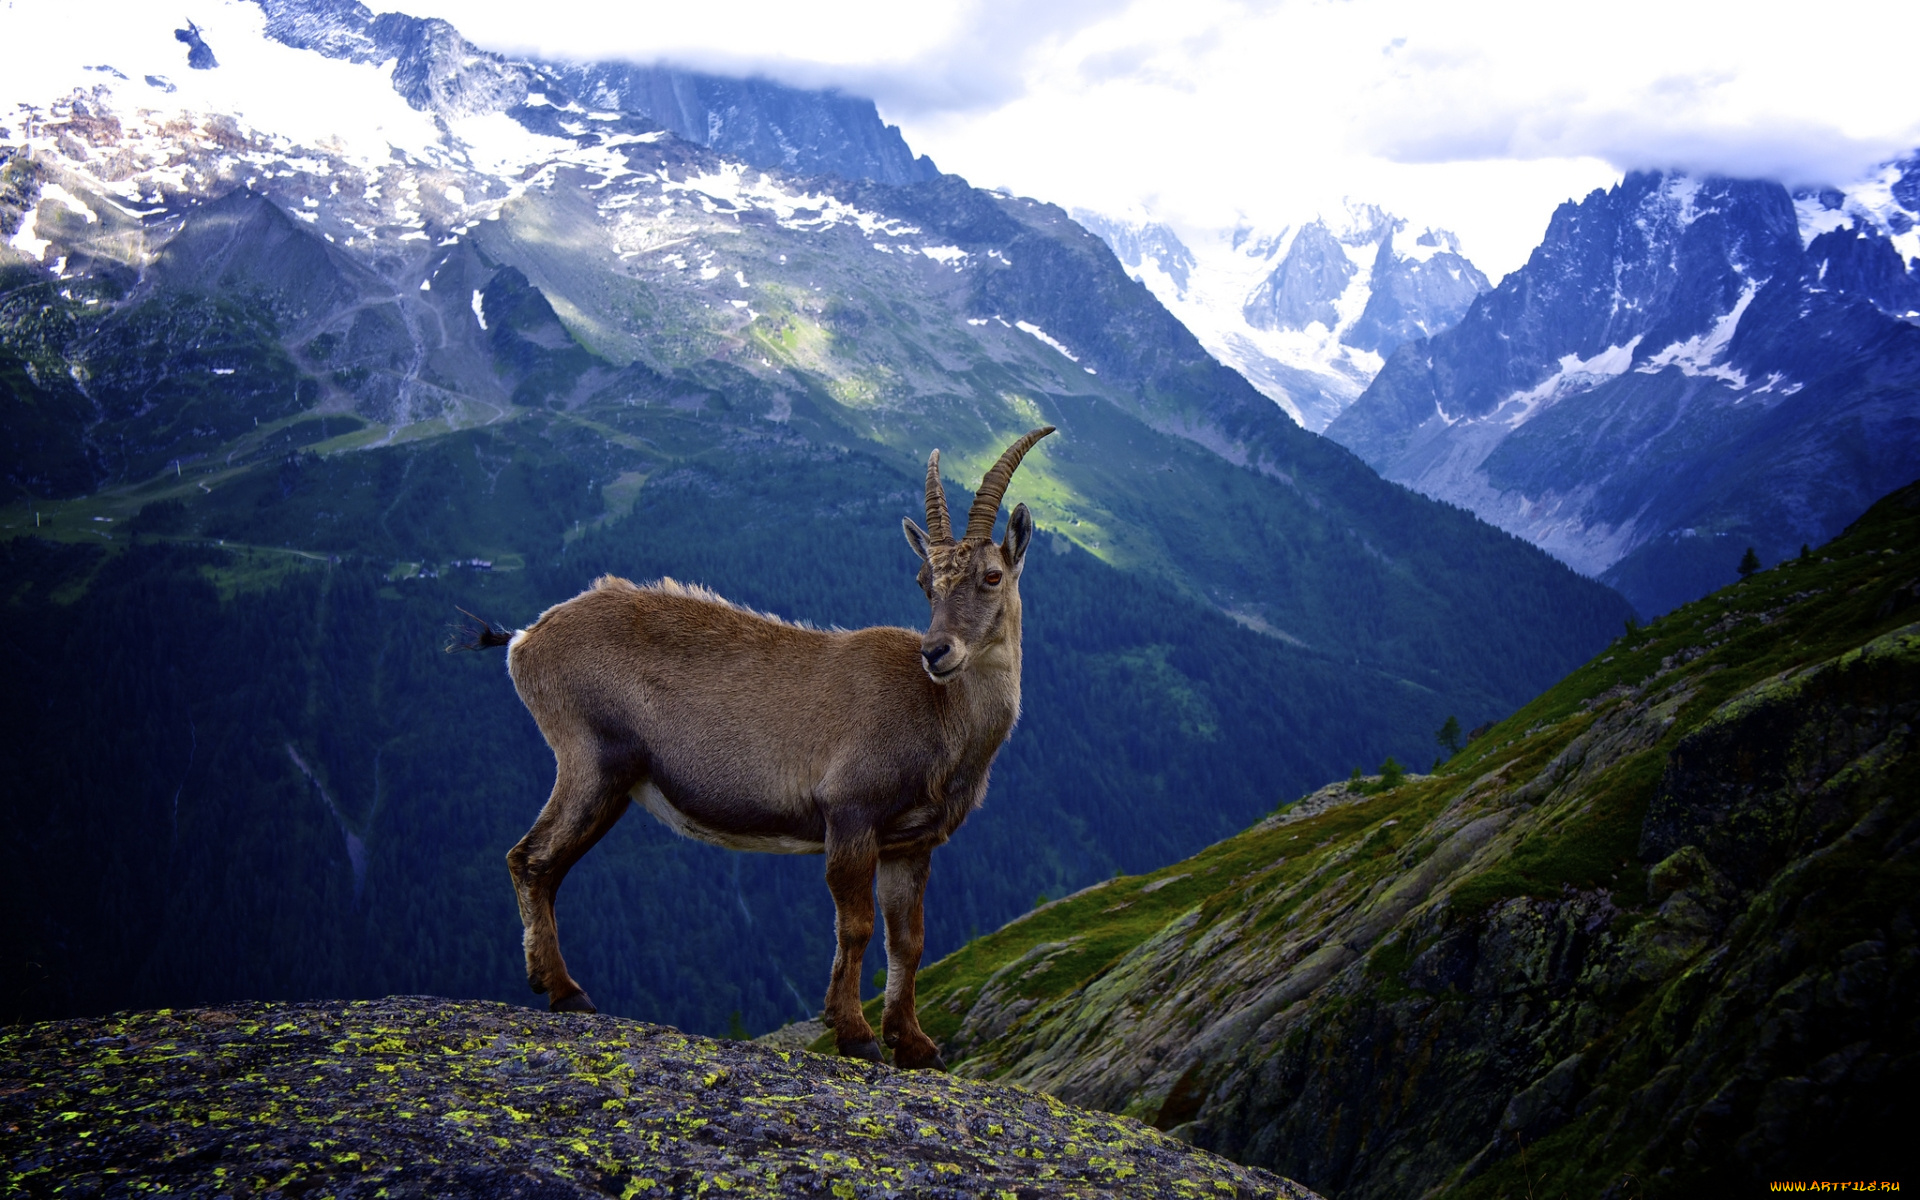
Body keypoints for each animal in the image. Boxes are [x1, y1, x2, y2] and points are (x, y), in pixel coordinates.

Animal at [454, 427, 1055, 1069]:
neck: (939, 716)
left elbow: (909, 940)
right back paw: (568, 992)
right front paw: (856, 1034)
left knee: (541, 862)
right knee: (531, 858)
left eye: (991, 576)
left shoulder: (912, 842)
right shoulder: (850, 815)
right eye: (925, 583)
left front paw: (914, 1044)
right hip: (591, 759)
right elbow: (856, 926)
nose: (936, 652)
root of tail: (525, 639)